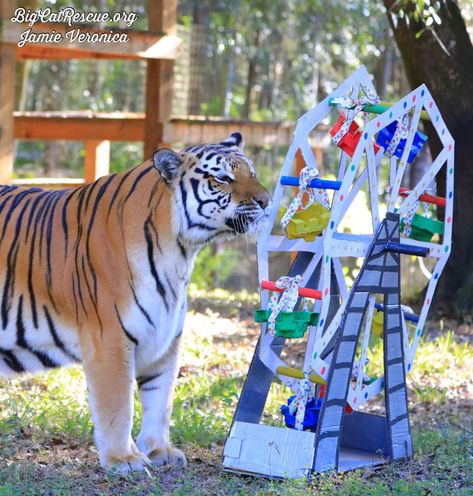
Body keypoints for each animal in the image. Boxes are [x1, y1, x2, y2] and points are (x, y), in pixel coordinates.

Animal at [0, 133, 270, 472]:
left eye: (252, 173)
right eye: (222, 178)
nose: (267, 201)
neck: (180, 251)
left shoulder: (165, 337)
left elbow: (160, 400)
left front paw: (158, 451)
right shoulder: (109, 340)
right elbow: (118, 405)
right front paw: (123, 459)